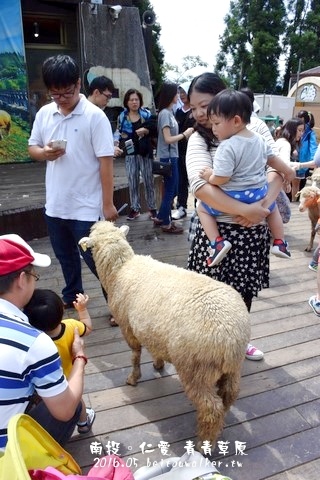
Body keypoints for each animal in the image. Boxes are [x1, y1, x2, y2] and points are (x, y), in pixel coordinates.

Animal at [79, 221, 251, 446]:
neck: (121, 269)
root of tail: (231, 336)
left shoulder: (128, 328)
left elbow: (135, 355)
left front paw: (133, 378)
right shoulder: (152, 330)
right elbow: (154, 348)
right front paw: (158, 364)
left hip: (195, 369)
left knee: (211, 408)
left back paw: (203, 444)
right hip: (232, 368)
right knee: (229, 395)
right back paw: (218, 430)